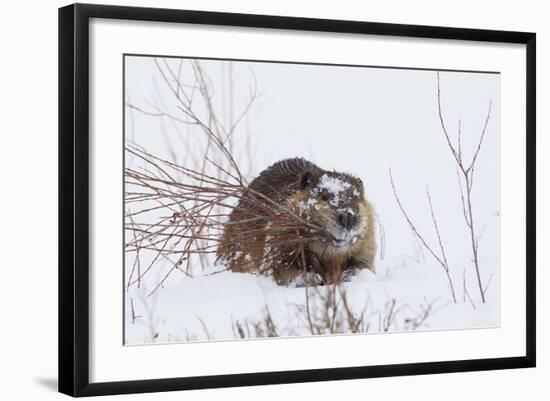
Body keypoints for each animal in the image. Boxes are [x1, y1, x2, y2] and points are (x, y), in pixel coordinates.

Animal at [218, 158, 378, 286]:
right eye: (324, 196)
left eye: (357, 198)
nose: (347, 217)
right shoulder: (278, 233)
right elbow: (280, 267)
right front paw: (313, 277)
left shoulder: (367, 243)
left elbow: (363, 264)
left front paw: (348, 275)